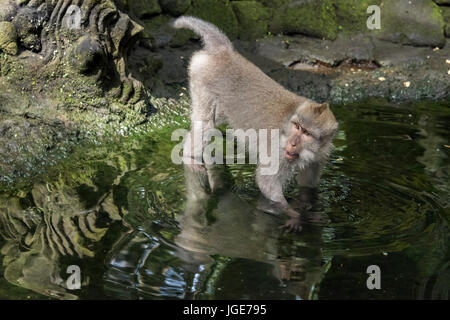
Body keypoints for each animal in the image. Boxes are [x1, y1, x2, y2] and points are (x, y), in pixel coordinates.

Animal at [172, 16, 338, 230]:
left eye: (307, 133)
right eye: (298, 127)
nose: (292, 143)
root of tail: (224, 51)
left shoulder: (320, 155)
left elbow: (307, 186)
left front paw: (308, 209)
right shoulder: (278, 151)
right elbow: (267, 183)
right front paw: (293, 214)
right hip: (201, 79)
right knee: (206, 124)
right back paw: (189, 159)